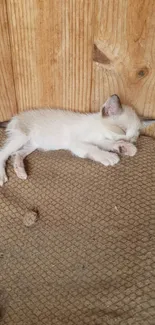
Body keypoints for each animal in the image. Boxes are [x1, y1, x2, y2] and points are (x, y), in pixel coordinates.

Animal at [0, 93, 142, 185]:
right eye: (121, 130)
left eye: (134, 137)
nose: (128, 140)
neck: (99, 129)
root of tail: (15, 117)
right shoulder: (76, 143)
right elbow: (92, 148)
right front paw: (108, 156)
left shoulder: (100, 140)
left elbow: (108, 143)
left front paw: (124, 147)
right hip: (22, 136)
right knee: (3, 153)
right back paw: (2, 176)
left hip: (32, 144)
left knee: (17, 153)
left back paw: (20, 170)